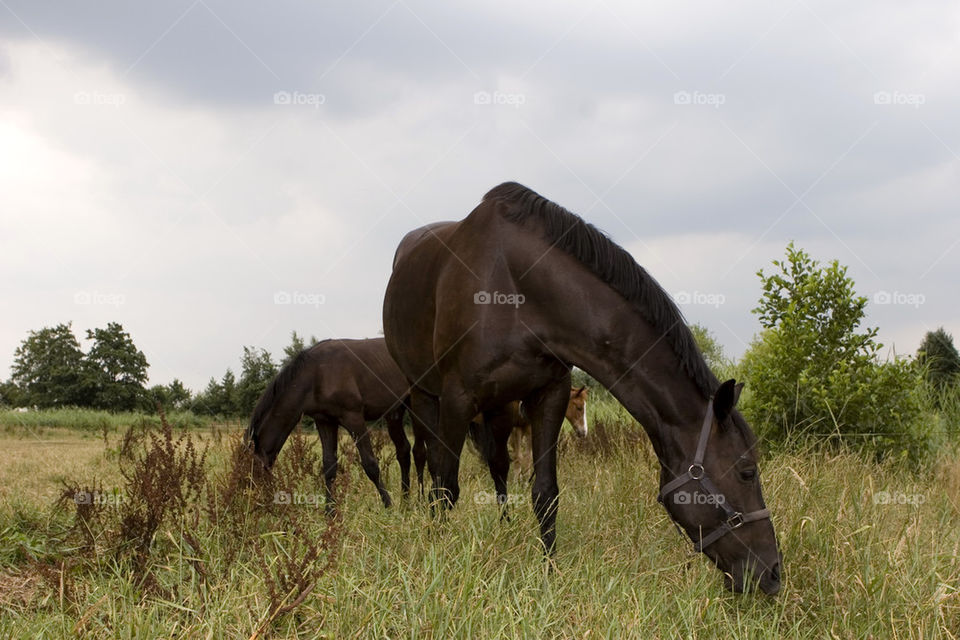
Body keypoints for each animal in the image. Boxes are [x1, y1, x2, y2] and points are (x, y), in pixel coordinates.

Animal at [244, 338, 424, 508]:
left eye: (250, 471)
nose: (247, 502)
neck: (317, 375)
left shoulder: (354, 418)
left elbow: (370, 464)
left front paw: (388, 505)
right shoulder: (325, 421)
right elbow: (329, 466)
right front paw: (330, 512)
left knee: (419, 451)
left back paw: (422, 502)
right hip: (394, 412)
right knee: (403, 451)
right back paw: (405, 503)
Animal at [382, 182, 780, 592]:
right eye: (747, 471)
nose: (773, 573)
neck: (514, 288)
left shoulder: (551, 395)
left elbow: (545, 492)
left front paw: (549, 573)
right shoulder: (457, 400)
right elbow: (446, 485)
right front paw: (438, 557)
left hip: (498, 409)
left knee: (498, 465)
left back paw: (503, 528)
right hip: (424, 394)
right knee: (432, 466)